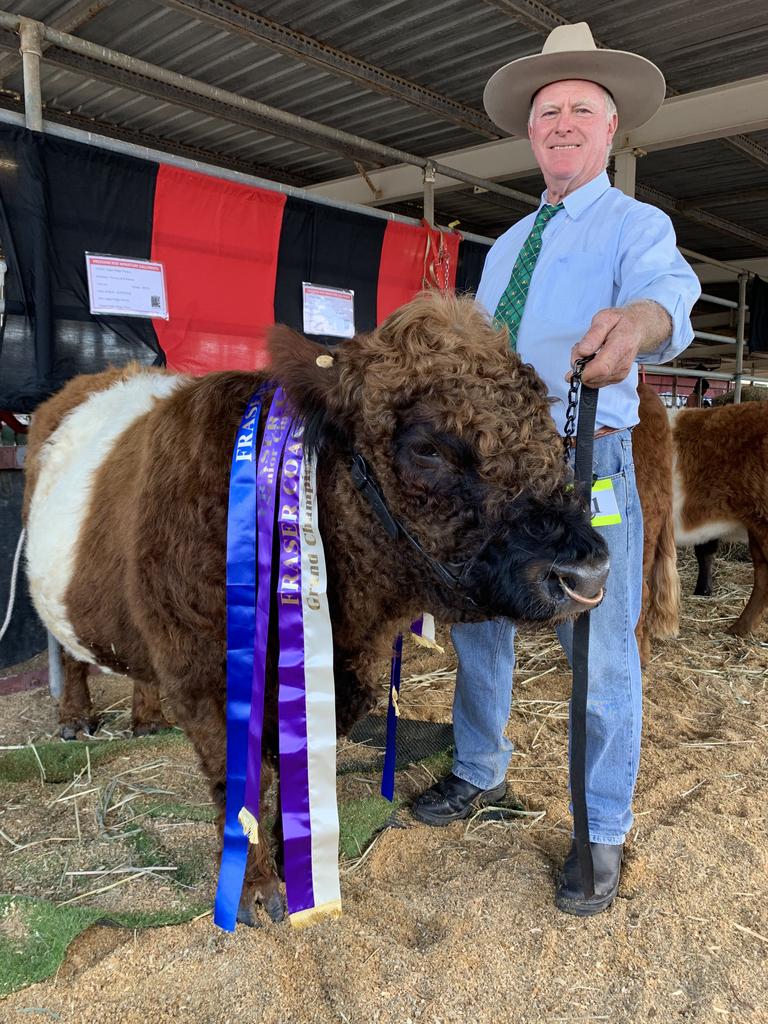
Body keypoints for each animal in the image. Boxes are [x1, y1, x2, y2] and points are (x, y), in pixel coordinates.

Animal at [24, 292, 606, 925]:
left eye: (552, 433)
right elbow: (241, 785)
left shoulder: (345, 674)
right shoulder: (207, 682)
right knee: (67, 649)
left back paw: (146, 716)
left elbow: (290, 774)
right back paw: (75, 717)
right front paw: (257, 889)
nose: (587, 572)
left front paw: (294, 862)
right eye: (427, 447)